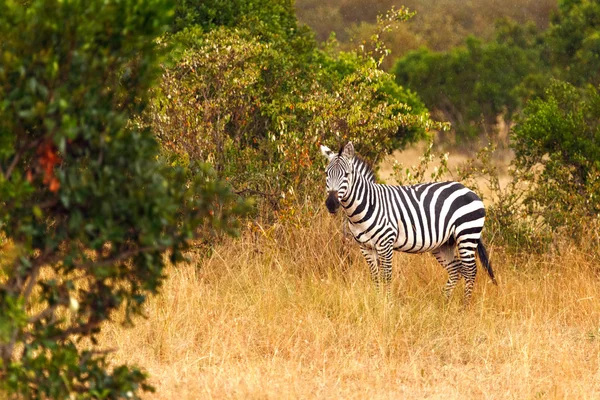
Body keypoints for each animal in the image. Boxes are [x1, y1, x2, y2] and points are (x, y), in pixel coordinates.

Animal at [318, 142, 496, 302]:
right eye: (326, 173)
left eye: (346, 175)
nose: (331, 203)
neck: (365, 207)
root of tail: (467, 189)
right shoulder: (365, 247)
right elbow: (375, 276)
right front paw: (377, 302)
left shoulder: (386, 243)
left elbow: (386, 276)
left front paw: (387, 304)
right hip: (444, 243)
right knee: (455, 269)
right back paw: (444, 303)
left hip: (467, 234)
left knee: (470, 271)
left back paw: (465, 306)